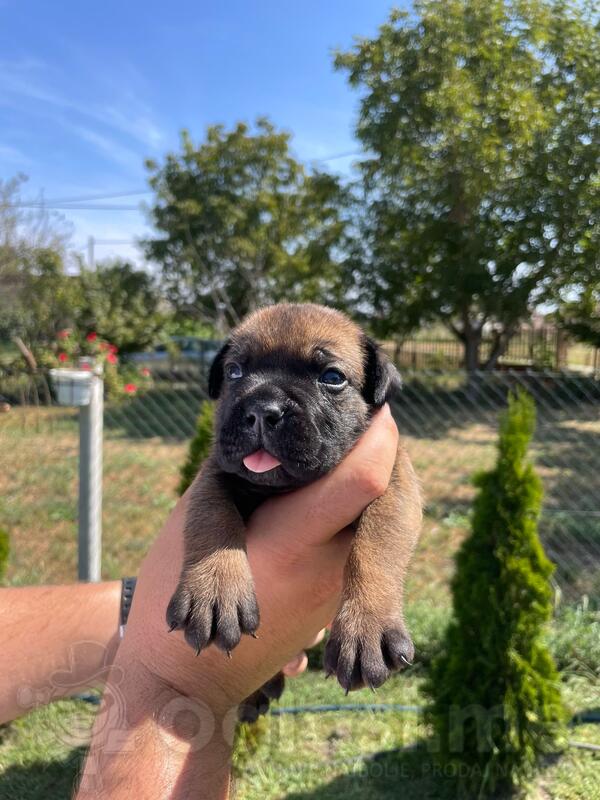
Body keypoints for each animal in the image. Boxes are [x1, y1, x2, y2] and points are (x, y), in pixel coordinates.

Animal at [168, 304, 422, 720]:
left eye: (332, 378)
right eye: (234, 372)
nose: (262, 409)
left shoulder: (395, 486)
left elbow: (376, 545)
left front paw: (365, 624)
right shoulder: (214, 474)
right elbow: (211, 519)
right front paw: (215, 588)